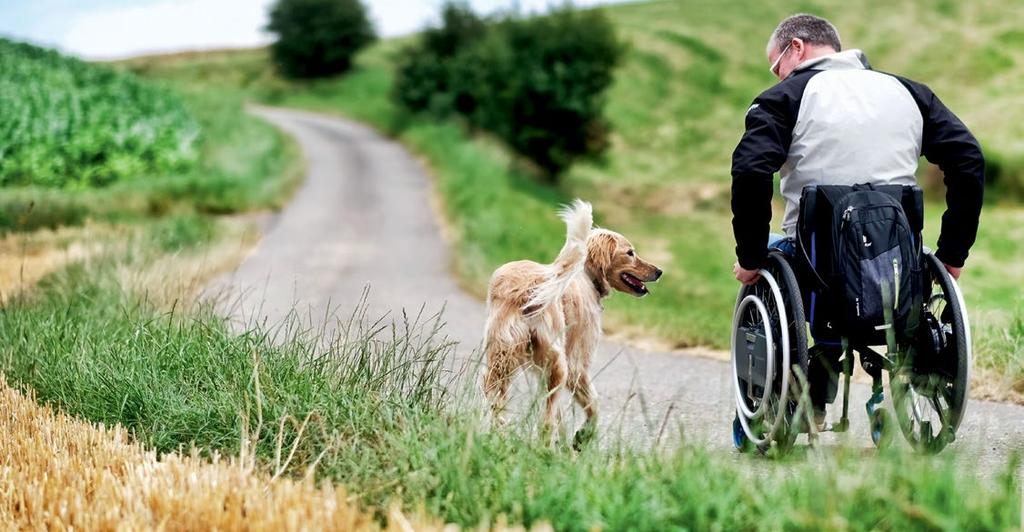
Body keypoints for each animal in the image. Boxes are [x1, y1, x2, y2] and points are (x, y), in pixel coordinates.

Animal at [481, 199, 663, 444]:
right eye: (630, 253)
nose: (659, 271)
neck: (587, 276)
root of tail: (529, 286)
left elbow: (562, 417)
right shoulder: (577, 365)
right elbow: (593, 405)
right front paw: (583, 436)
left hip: (502, 360)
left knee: (497, 405)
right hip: (558, 365)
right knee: (545, 421)